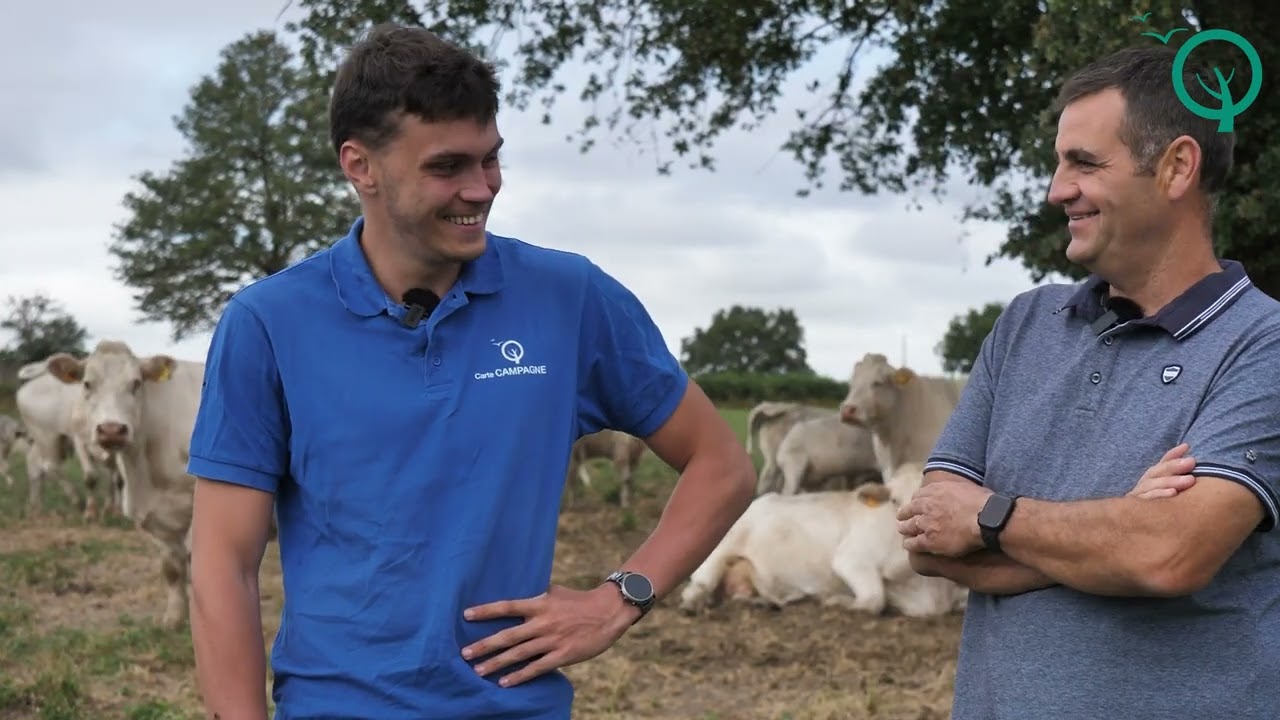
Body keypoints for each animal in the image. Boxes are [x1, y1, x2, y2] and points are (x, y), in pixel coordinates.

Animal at [14, 358, 122, 515]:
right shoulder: (80, 441)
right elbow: (93, 476)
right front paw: (96, 510)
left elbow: (116, 477)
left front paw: (113, 509)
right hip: (47, 436)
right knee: (49, 466)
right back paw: (76, 501)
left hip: (44, 440)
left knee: (35, 464)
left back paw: (36, 506)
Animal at [45, 338, 206, 625]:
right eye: (88, 384)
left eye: (136, 383)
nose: (112, 430)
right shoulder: (156, 519)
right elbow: (171, 567)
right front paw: (174, 618)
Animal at [675, 461, 962, 614]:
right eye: (894, 501)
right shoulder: (850, 559)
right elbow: (873, 598)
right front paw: (836, 601)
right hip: (722, 547)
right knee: (701, 581)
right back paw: (693, 601)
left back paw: (766, 601)